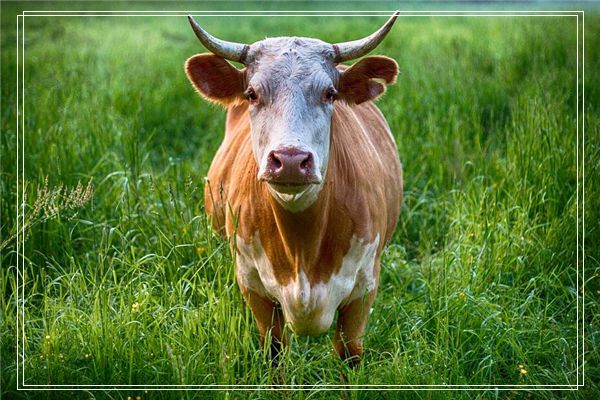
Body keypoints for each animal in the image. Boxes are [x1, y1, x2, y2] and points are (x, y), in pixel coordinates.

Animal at [184, 12, 404, 366]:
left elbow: (349, 355)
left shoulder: (364, 290)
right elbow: (275, 353)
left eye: (330, 93)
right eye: (252, 94)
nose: (289, 160)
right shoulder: (253, 286)